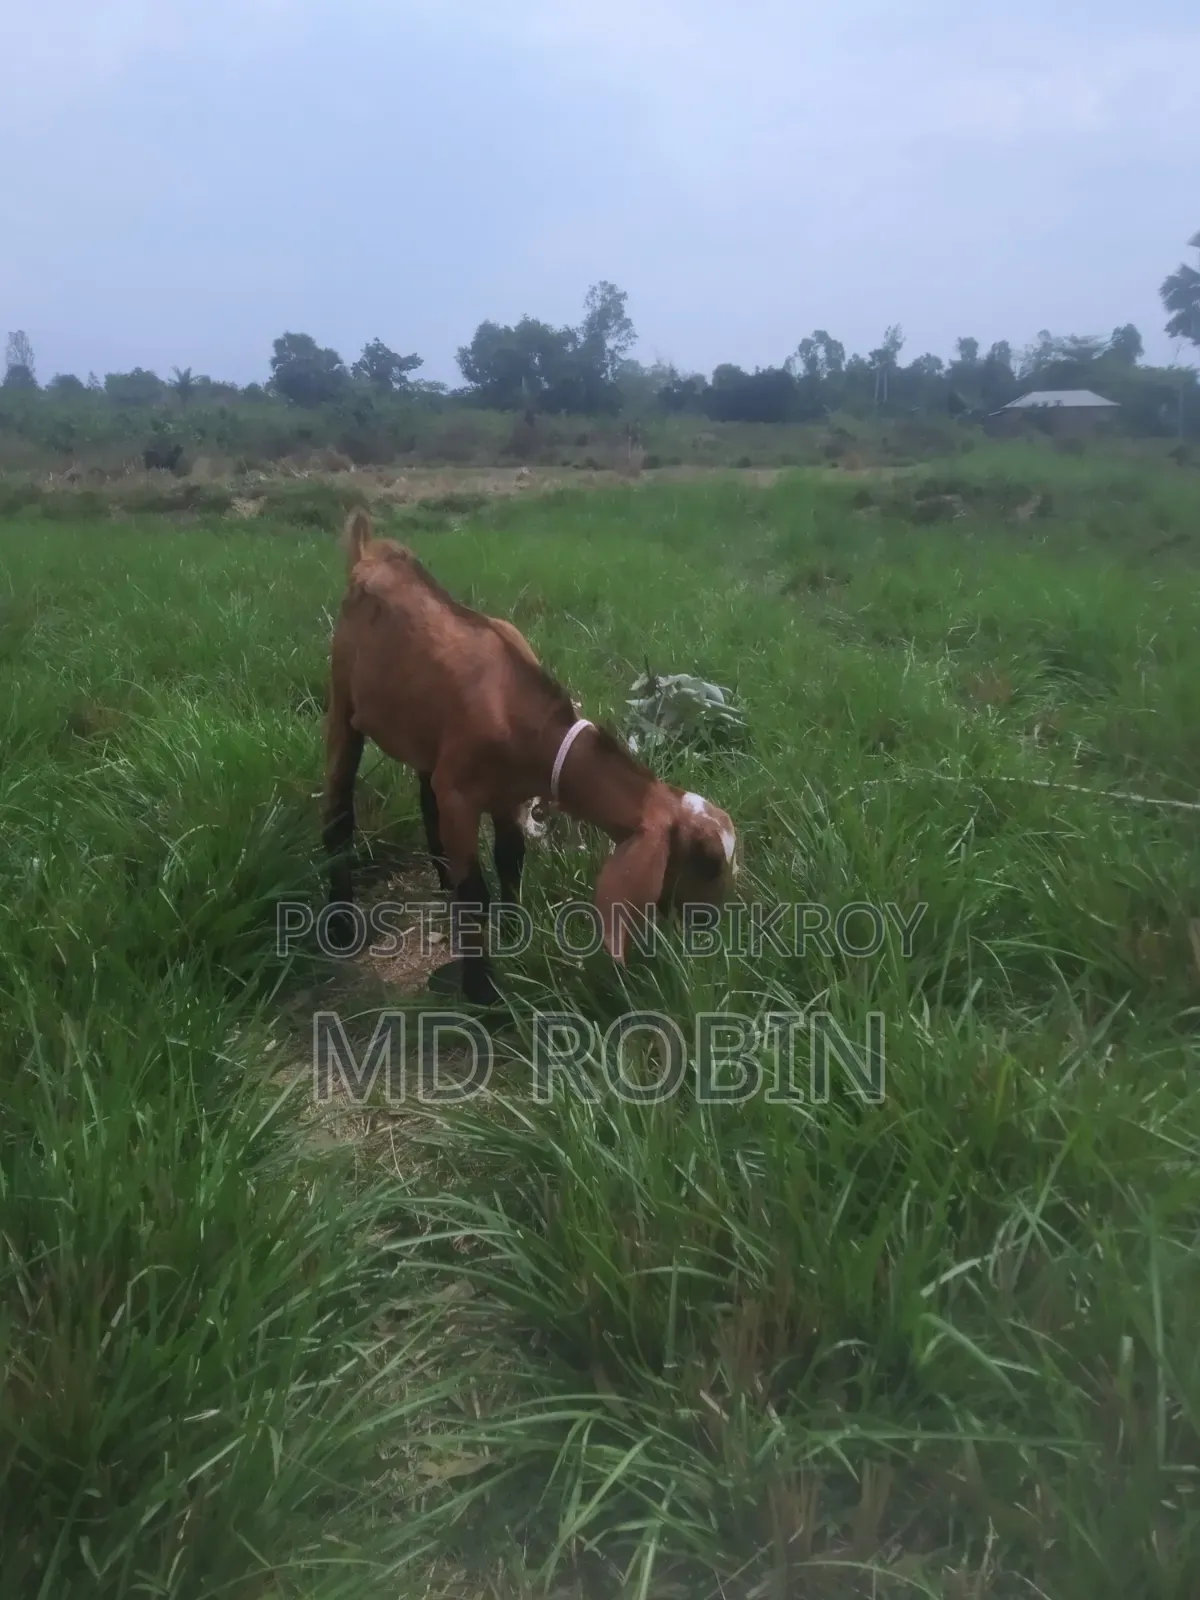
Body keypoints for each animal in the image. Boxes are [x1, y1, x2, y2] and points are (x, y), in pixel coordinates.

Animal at [323, 508, 739, 1005]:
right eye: (707, 860)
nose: (714, 923)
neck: (521, 714)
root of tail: (371, 551)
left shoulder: (507, 794)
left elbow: (511, 858)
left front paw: (512, 930)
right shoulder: (462, 796)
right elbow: (474, 894)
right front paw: (482, 990)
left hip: (422, 732)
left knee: (425, 794)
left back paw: (438, 875)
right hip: (342, 697)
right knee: (339, 803)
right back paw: (341, 923)